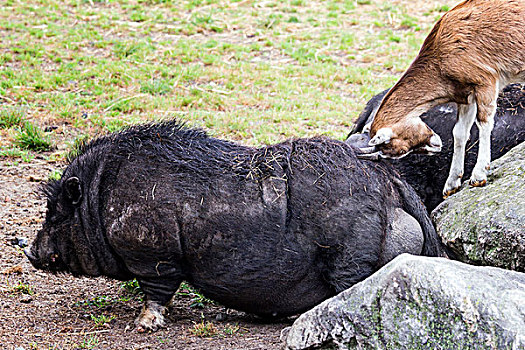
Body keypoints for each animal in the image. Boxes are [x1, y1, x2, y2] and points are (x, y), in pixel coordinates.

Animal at [24, 120, 442, 330]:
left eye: (56, 212)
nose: (30, 250)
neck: (100, 196)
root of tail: (387, 180)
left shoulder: (153, 252)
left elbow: (156, 290)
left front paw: (144, 325)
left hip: (350, 251)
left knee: (351, 287)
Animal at [360, 0, 524, 197]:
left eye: (401, 148)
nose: (436, 145)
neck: (440, 53)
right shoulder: (466, 95)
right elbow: (459, 132)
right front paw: (451, 184)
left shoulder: (485, 80)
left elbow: (484, 123)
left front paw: (478, 175)